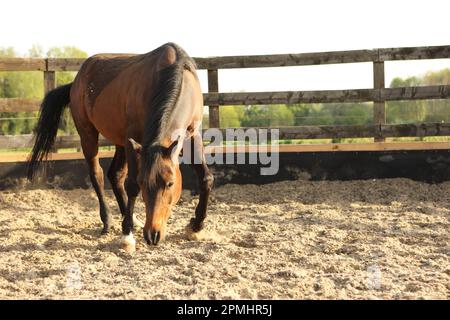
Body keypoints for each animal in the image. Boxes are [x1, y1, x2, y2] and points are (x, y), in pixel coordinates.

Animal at [27, 42, 214, 248]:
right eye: (143, 183)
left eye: (170, 183)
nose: (153, 234)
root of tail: (76, 81)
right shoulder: (132, 139)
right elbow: (131, 185)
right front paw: (127, 234)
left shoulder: (192, 135)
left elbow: (205, 178)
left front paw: (196, 226)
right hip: (89, 135)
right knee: (98, 174)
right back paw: (109, 221)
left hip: (120, 143)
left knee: (115, 175)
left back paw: (131, 218)